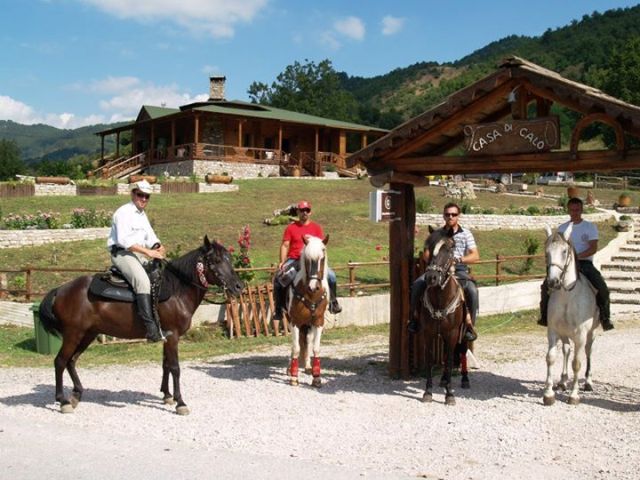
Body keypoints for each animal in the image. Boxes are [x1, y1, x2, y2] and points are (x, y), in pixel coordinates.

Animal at [38, 235, 242, 412]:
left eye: (229, 259)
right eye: (215, 260)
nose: (238, 286)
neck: (177, 290)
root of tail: (60, 290)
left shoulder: (166, 336)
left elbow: (165, 364)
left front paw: (167, 395)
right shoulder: (173, 336)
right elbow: (175, 367)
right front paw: (180, 402)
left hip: (88, 334)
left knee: (71, 361)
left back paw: (76, 394)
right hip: (73, 334)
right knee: (60, 361)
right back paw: (63, 400)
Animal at [288, 234, 332, 388]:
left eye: (322, 259)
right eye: (307, 260)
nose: (313, 287)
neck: (311, 295)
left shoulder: (318, 322)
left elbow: (315, 348)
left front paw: (316, 377)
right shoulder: (294, 322)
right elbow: (295, 348)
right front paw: (294, 377)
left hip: (308, 325)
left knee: (307, 341)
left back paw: (307, 366)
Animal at [420, 228, 470, 404]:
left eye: (449, 249)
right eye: (428, 247)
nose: (431, 277)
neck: (440, 300)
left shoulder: (453, 332)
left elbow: (449, 361)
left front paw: (449, 394)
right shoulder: (427, 333)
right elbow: (429, 360)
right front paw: (428, 392)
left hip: (463, 332)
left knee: (462, 350)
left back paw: (464, 379)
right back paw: (442, 380)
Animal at [540, 225, 600, 404]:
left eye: (564, 251)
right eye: (546, 252)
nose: (553, 282)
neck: (567, 296)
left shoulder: (580, 335)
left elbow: (577, 363)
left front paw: (574, 395)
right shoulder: (553, 331)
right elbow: (551, 357)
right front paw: (549, 394)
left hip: (591, 333)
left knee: (588, 351)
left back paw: (588, 382)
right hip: (564, 333)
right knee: (566, 350)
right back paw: (562, 381)